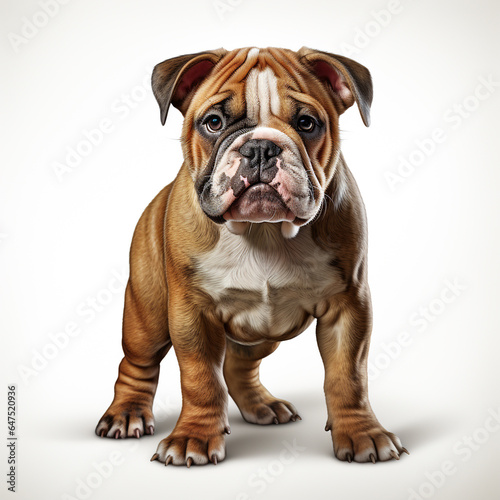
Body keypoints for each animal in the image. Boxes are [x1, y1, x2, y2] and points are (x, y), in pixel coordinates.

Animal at [95, 46, 408, 464]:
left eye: (307, 123)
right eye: (213, 122)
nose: (260, 147)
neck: (264, 231)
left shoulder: (349, 307)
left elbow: (348, 376)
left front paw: (362, 434)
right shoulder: (192, 313)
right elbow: (200, 378)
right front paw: (194, 436)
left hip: (260, 334)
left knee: (238, 365)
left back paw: (262, 405)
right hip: (148, 316)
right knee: (138, 363)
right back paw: (126, 414)